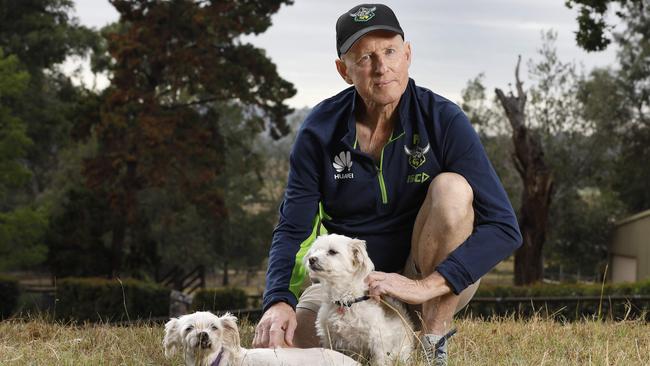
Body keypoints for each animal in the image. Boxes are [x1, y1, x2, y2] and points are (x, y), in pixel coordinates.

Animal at [306, 234, 416, 366]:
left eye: (332, 251)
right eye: (315, 250)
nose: (311, 259)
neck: (346, 302)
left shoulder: (379, 340)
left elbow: (380, 360)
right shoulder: (329, 337)